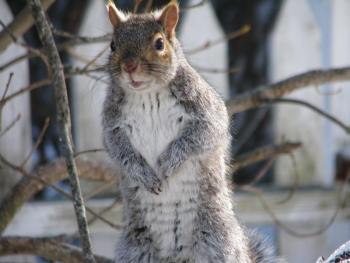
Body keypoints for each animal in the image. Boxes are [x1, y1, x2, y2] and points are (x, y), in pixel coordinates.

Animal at [102, 1, 278, 262]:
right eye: (113, 44)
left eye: (159, 43)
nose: (129, 67)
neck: (146, 95)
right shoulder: (112, 126)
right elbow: (118, 150)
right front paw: (143, 174)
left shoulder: (205, 112)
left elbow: (200, 136)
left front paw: (167, 164)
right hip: (136, 250)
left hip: (217, 242)